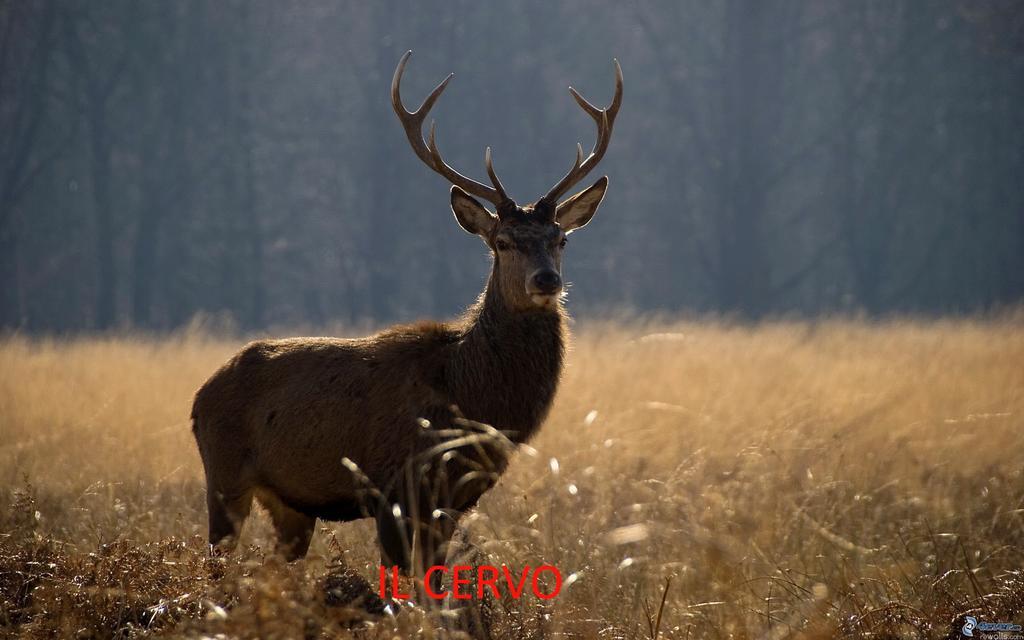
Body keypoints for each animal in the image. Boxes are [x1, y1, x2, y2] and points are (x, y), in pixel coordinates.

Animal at [192, 52, 622, 585]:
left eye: (560, 239)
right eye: (502, 242)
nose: (546, 280)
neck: (468, 395)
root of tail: (198, 397)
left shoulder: (452, 500)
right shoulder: (394, 486)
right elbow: (400, 587)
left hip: (292, 505)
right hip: (224, 477)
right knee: (215, 561)